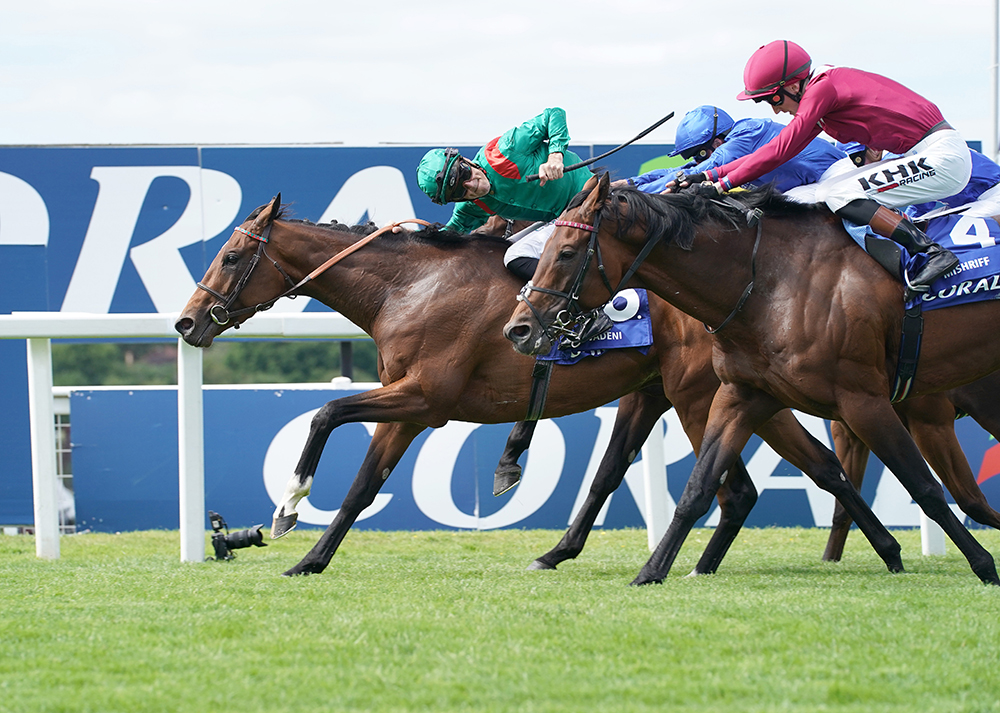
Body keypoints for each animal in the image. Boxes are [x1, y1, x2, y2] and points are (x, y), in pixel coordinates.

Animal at [178, 195, 908, 580]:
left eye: (233, 256)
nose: (186, 320)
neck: (407, 286)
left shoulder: (426, 398)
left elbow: (327, 412)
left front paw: (287, 508)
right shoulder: (407, 406)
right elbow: (361, 485)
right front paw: (310, 557)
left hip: (700, 396)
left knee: (759, 482)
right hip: (678, 393)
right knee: (782, 473)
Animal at [504, 174, 1000, 584]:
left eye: (566, 252)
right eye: (544, 252)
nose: (518, 329)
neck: (772, 284)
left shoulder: (863, 399)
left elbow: (926, 488)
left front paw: (983, 565)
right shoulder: (742, 395)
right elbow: (698, 487)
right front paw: (650, 572)